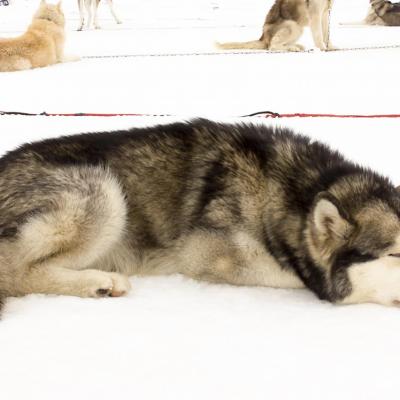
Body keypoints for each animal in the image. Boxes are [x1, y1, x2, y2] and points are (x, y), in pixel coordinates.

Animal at [2, 119, 400, 312]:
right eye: (395, 254)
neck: (295, 193)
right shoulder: (205, 253)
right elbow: (296, 277)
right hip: (103, 191)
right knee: (18, 272)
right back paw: (98, 282)